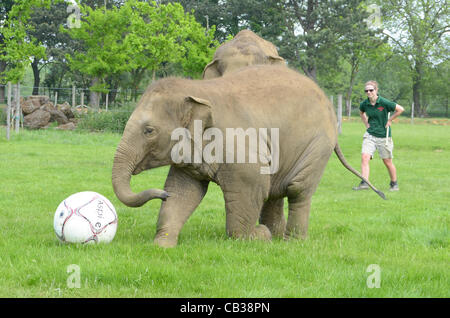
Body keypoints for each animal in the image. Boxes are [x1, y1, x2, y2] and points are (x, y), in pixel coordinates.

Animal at [112, 65, 384, 248]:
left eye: (149, 131)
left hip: (317, 145)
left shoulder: (240, 146)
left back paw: (291, 241)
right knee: (275, 190)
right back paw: (278, 236)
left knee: (297, 189)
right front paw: (162, 245)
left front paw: (257, 236)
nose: (160, 194)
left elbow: (251, 186)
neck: (198, 89)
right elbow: (183, 191)